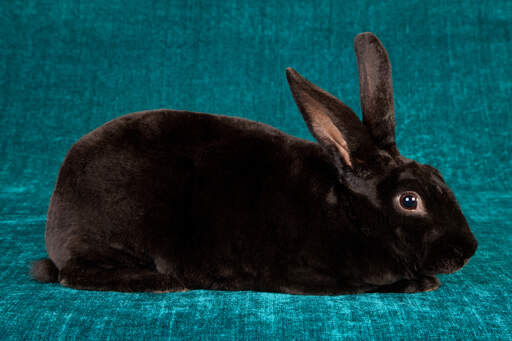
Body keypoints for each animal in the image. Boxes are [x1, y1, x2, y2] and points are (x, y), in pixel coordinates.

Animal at [31, 32, 476, 292]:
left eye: (439, 175)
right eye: (409, 200)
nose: (469, 250)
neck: (348, 211)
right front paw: (422, 284)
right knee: (72, 274)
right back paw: (164, 282)